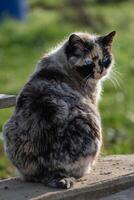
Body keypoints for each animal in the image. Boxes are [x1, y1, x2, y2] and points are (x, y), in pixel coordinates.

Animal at [3, 30, 116, 188]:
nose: (101, 70)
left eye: (105, 60)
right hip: (91, 126)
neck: (63, 64)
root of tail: (51, 170)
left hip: (7, 129)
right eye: (88, 63)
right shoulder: (93, 102)